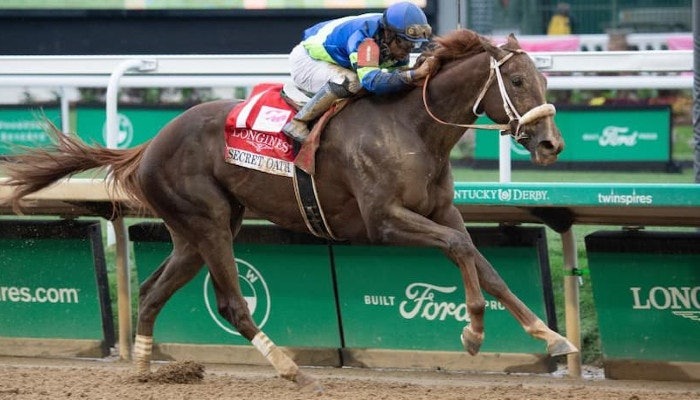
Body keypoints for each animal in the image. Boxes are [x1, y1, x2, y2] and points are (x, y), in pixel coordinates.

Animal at [0, 29, 575, 390]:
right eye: (518, 82)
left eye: (547, 82)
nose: (551, 145)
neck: (412, 127)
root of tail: (150, 145)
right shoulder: (383, 221)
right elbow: (459, 250)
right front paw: (473, 333)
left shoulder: (442, 211)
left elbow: (484, 264)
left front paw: (551, 337)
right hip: (210, 223)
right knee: (233, 304)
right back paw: (290, 369)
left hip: (194, 231)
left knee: (151, 291)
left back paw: (143, 368)